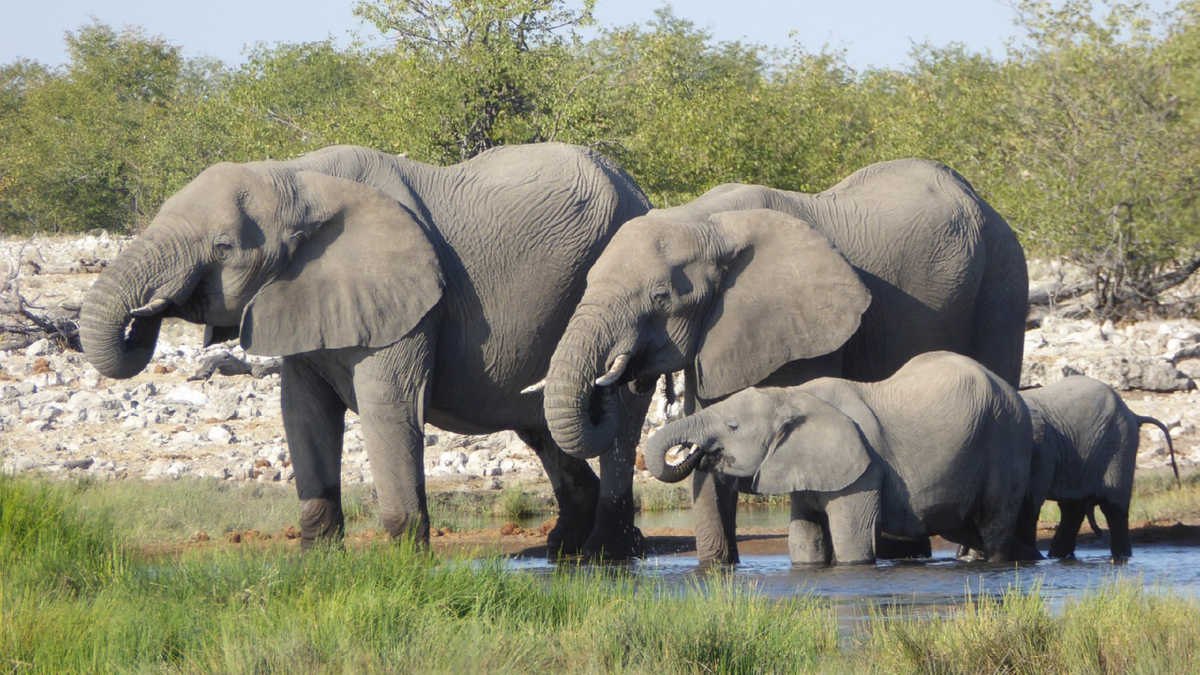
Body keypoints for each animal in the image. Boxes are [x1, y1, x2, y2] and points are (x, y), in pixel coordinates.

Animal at [82, 141, 657, 557]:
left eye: (223, 248)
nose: (147, 313)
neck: (297, 178)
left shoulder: (410, 305)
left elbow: (391, 408)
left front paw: (405, 567)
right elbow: (303, 414)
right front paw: (316, 563)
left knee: (621, 417)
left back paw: (608, 554)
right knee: (541, 425)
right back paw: (564, 549)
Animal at [643, 348, 1036, 564]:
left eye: (733, 425)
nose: (696, 451)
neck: (790, 395)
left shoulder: (864, 470)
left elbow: (852, 541)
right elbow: (805, 540)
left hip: (1006, 441)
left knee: (995, 528)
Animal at [1022, 374, 1180, 559]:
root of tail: (1133, 414)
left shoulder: (1042, 452)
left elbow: (1027, 503)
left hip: (1119, 444)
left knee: (1113, 508)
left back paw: (1121, 556)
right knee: (1072, 508)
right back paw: (1057, 557)